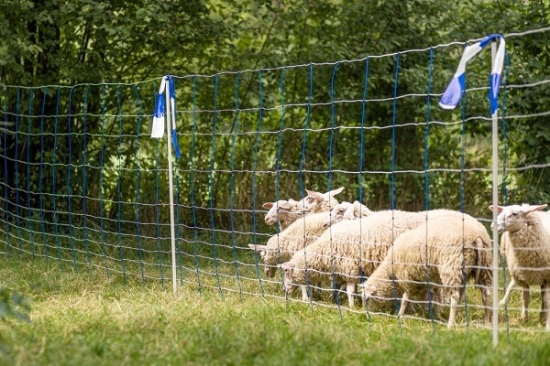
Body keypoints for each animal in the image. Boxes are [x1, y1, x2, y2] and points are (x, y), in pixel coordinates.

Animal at [280, 209, 466, 308]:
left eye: (287, 273)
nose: (284, 292)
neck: (325, 249)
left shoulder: (350, 267)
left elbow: (349, 290)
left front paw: (352, 306)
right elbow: (341, 288)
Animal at [362, 213, 496, 328]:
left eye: (367, 299)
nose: (366, 316)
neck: (390, 271)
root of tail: (476, 235)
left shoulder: (407, 277)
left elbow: (406, 299)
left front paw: (401, 315)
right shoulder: (423, 278)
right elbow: (425, 297)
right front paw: (425, 313)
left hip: (452, 266)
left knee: (455, 296)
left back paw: (450, 324)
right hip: (485, 266)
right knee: (486, 294)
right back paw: (487, 322)